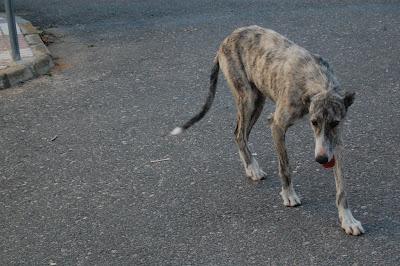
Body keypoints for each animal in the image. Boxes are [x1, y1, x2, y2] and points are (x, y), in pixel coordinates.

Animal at [170, 26, 364, 235]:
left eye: (335, 123)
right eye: (313, 122)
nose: (321, 159)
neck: (317, 80)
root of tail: (226, 39)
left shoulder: (334, 141)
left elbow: (341, 187)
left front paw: (348, 220)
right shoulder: (277, 125)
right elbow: (285, 166)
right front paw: (288, 195)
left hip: (257, 99)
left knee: (241, 134)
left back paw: (250, 166)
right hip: (248, 98)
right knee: (239, 133)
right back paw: (252, 167)